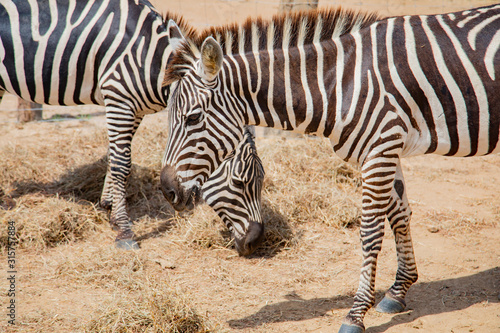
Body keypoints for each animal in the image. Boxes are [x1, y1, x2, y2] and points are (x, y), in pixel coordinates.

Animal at [0, 0, 268, 249]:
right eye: (240, 181)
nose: (256, 241)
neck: (148, 58)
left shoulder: (134, 110)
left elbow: (113, 156)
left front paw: (108, 207)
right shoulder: (119, 100)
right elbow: (122, 163)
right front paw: (123, 229)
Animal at [160, 5, 500, 332]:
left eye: (192, 118)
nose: (167, 190)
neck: (337, 84)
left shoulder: (380, 148)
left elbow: (371, 232)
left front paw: (356, 314)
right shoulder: (382, 149)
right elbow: (400, 215)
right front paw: (397, 292)